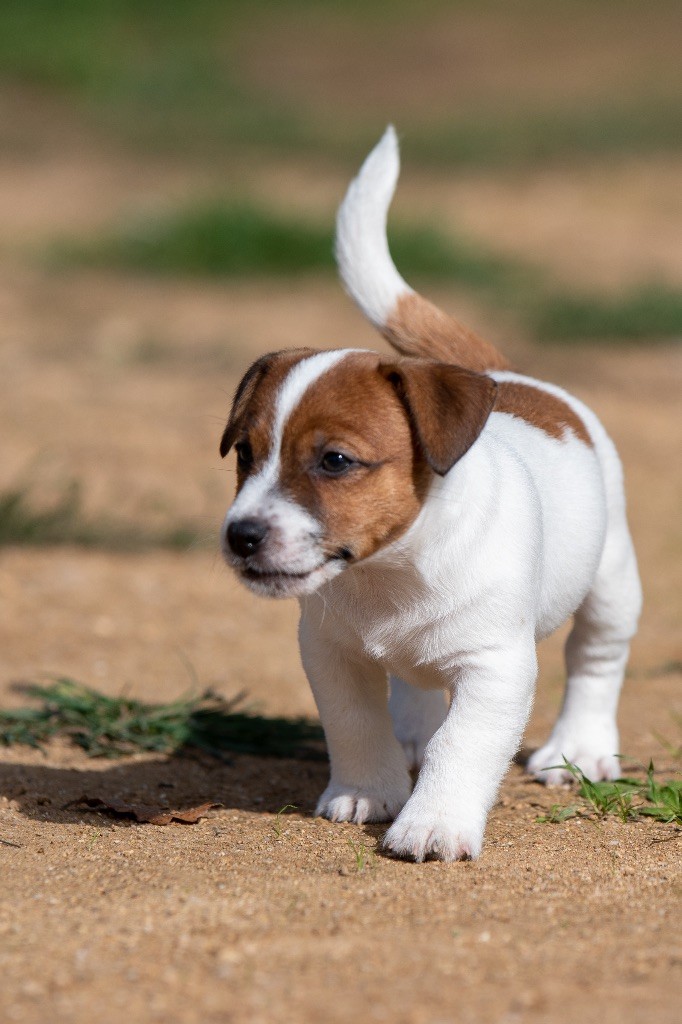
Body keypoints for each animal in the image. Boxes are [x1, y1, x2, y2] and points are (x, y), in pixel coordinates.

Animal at [220, 128, 638, 864]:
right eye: (245, 454)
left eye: (334, 461)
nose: (240, 536)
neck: (394, 571)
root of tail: (504, 375)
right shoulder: (331, 654)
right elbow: (355, 726)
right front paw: (368, 791)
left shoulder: (496, 669)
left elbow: (462, 746)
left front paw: (433, 823)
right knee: (412, 686)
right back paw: (411, 732)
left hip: (612, 579)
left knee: (596, 657)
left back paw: (580, 748)